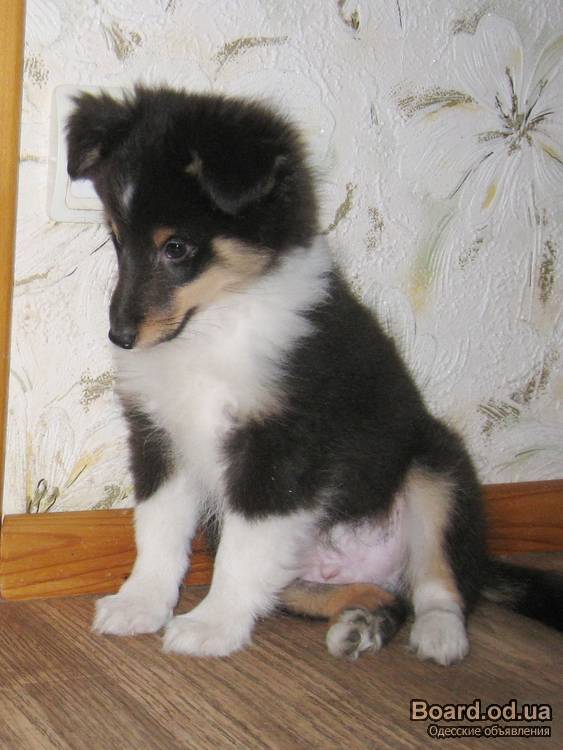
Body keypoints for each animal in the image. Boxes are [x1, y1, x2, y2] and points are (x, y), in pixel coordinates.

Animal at [67, 86, 562, 663]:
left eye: (177, 247)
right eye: (117, 241)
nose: (120, 337)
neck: (218, 322)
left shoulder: (281, 448)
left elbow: (244, 549)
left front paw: (211, 627)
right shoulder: (159, 434)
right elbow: (158, 528)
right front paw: (139, 604)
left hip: (438, 469)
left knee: (440, 581)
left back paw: (440, 635)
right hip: (305, 567)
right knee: (378, 594)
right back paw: (362, 626)